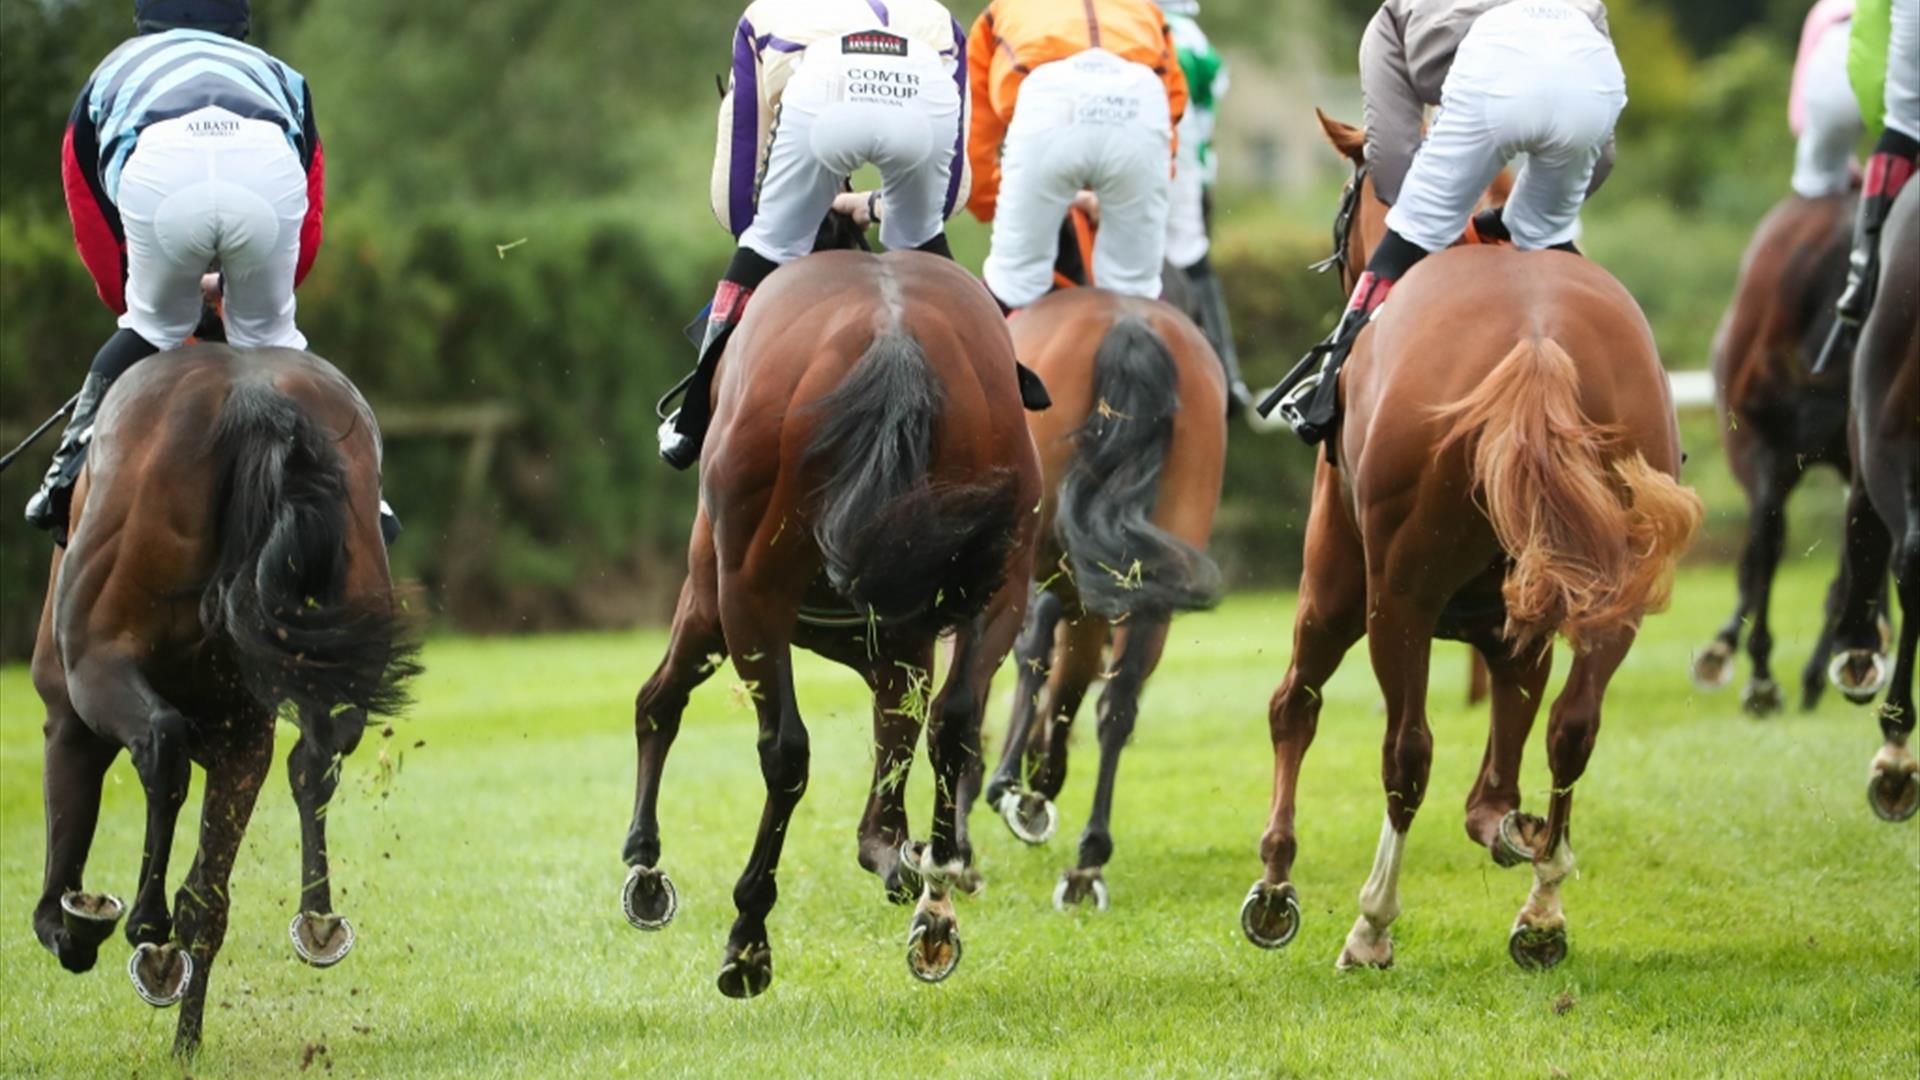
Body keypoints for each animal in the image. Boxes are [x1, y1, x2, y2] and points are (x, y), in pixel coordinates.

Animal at [29, 346, 418, 1055]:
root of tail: (258, 401)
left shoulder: (69, 714)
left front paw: (76, 923)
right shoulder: (244, 736)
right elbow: (211, 889)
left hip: (98, 666)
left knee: (160, 746)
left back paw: (144, 928)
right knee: (315, 756)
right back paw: (312, 919)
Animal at [616, 249, 1042, 997]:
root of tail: (894, 336)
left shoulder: (713, 597)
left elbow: (663, 703)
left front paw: (647, 862)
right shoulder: (907, 636)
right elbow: (899, 744)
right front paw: (903, 859)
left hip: (741, 595)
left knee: (772, 746)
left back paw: (743, 934)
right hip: (999, 577)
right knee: (955, 721)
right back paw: (936, 904)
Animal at [962, 286, 1226, 911]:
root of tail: (1129, 321)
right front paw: (1037, 781)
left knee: (1036, 652)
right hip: (1153, 563)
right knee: (1119, 698)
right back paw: (1086, 856)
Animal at [1238, 113, 1702, 971]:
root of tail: (1537, 342)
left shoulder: (1337, 578)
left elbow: (1296, 707)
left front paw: (1277, 885)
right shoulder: (1520, 624)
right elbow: (1501, 775)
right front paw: (1519, 834)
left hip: (1395, 597)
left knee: (1403, 750)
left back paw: (1372, 924)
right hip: (1613, 590)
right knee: (1574, 726)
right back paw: (1542, 910)